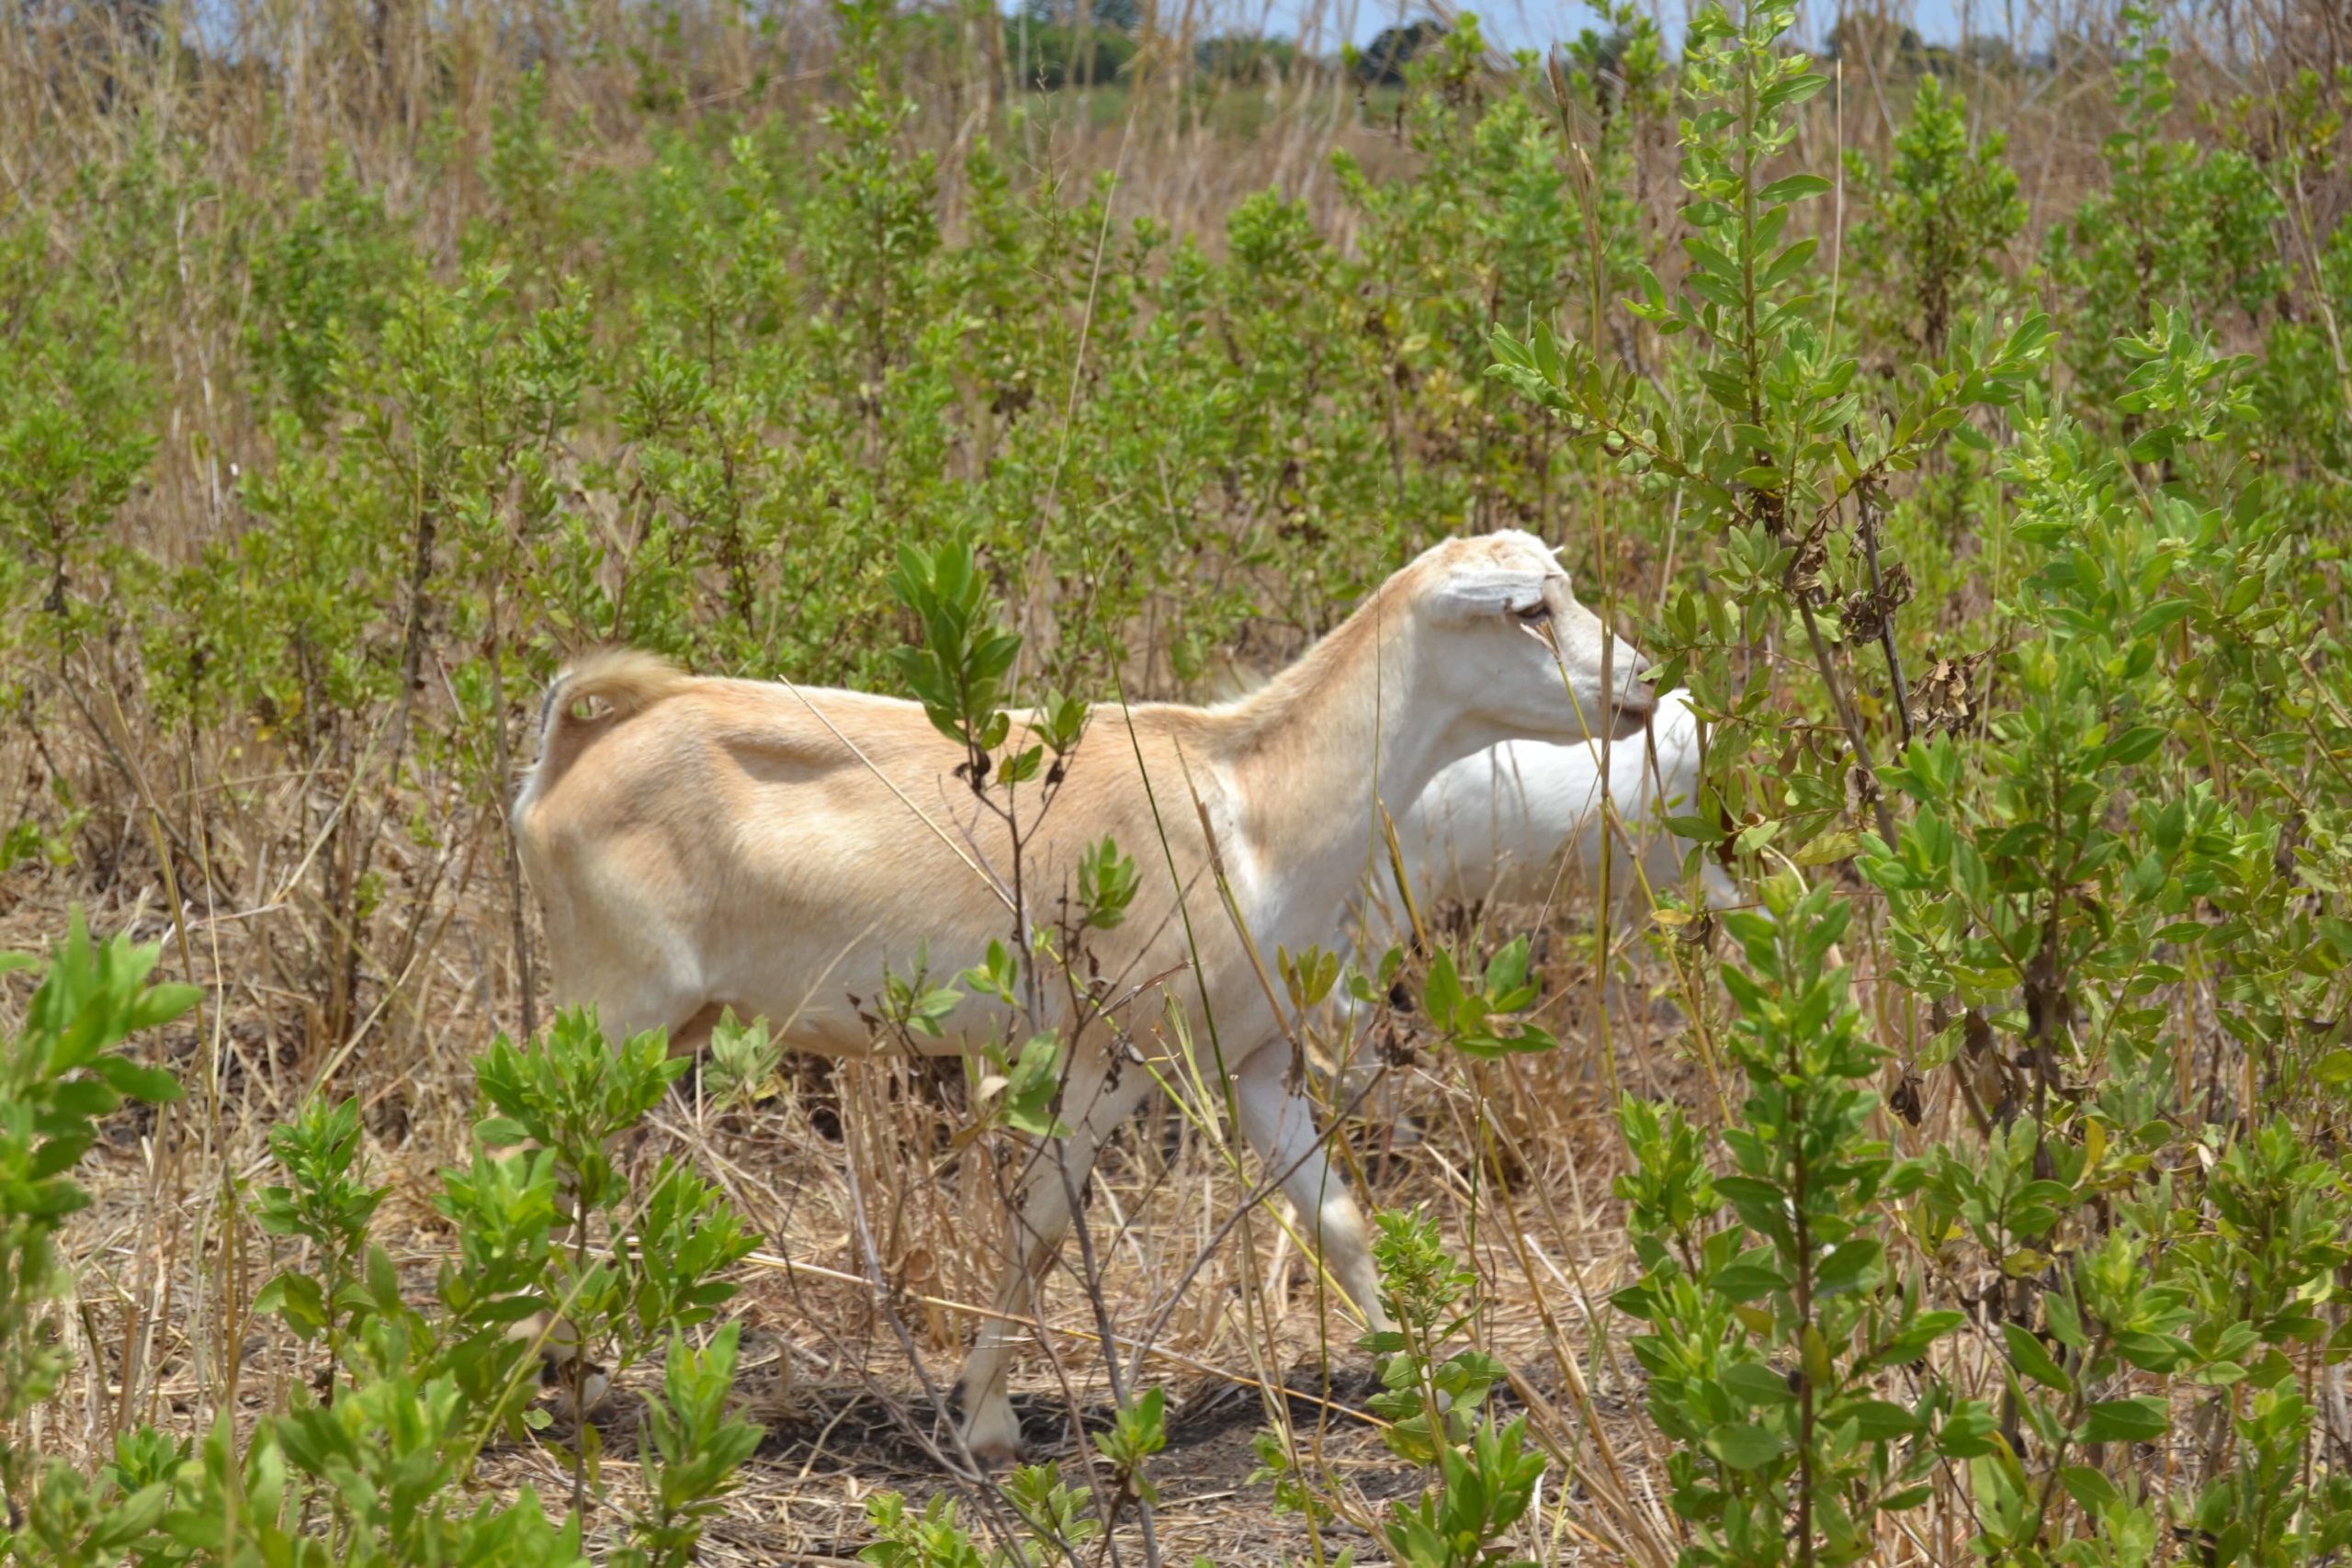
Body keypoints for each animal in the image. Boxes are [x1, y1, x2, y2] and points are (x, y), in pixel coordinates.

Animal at [514, 531, 1656, 1476]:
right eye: (1527, 608)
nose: (1641, 682)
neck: (1251, 806)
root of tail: (570, 755)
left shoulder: (1251, 1058)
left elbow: (1336, 1220)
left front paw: (1433, 1394)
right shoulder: (1112, 1050)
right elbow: (1040, 1227)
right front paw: (983, 1422)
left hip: (674, 1025)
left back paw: (567, 1374)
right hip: (615, 1003)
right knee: (515, 1150)